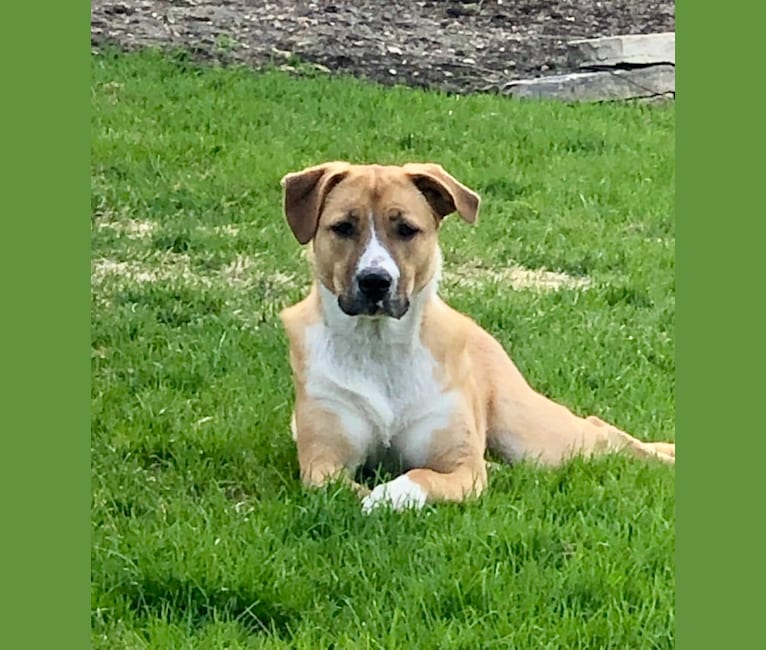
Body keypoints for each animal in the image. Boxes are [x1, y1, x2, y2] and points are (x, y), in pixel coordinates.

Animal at [280, 162, 676, 512]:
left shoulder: (462, 467)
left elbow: (421, 475)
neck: (379, 346)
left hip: (534, 435)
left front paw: (387, 496)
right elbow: (342, 489)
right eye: (343, 227)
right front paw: (372, 496)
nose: (375, 281)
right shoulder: (322, 463)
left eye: (407, 229)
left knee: (601, 431)